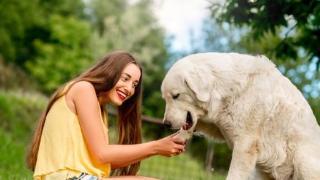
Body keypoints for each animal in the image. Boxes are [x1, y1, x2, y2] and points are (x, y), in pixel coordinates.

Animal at [161, 52, 320, 180]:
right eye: (166, 98)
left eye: (176, 96)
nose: (166, 124)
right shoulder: (220, 125)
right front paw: (179, 137)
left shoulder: (244, 145)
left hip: (302, 161)